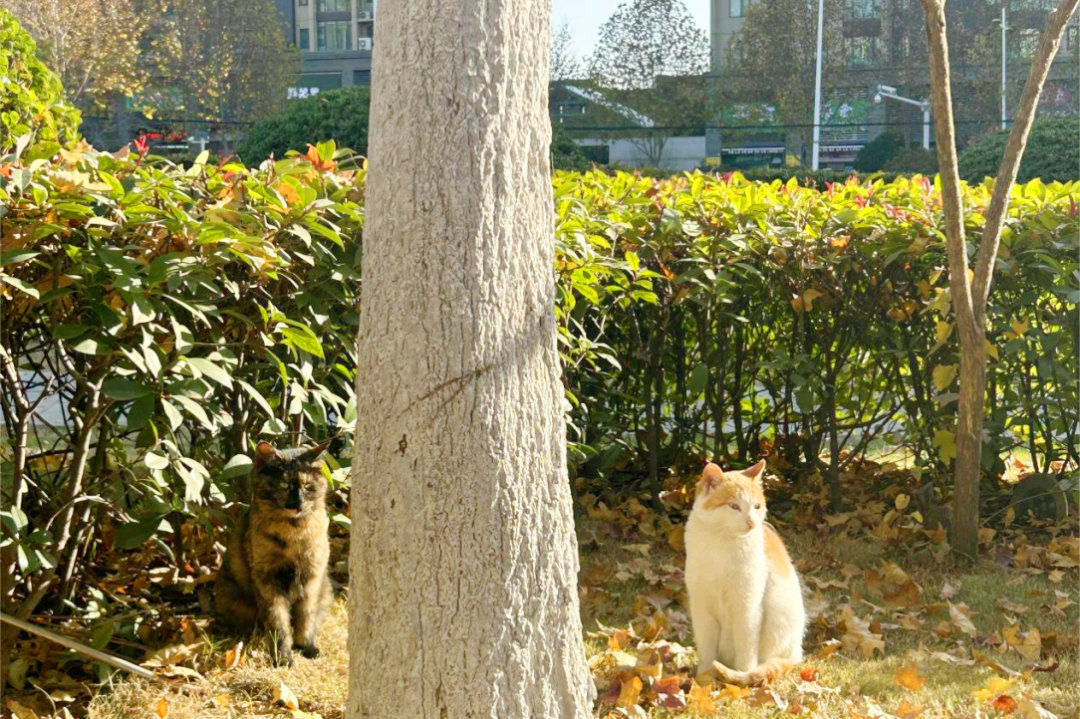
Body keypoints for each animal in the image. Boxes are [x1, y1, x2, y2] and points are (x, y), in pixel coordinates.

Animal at [210, 440, 328, 665]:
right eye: (283, 485)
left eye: (307, 486)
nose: (297, 505)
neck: (294, 533)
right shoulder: (267, 581)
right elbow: (278, 623)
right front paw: (283, 657)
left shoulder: (311, 577)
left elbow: (306, 618)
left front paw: (307, 647)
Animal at [682, 459, 803, 682]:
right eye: (734, 506)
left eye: (757, 506)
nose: (752, 522)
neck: (722, 543)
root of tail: (795, 656)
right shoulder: (702, 608)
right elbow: (706, 648)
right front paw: (704, 677)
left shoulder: (748, 609)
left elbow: (746, 651)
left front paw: (740, 678)